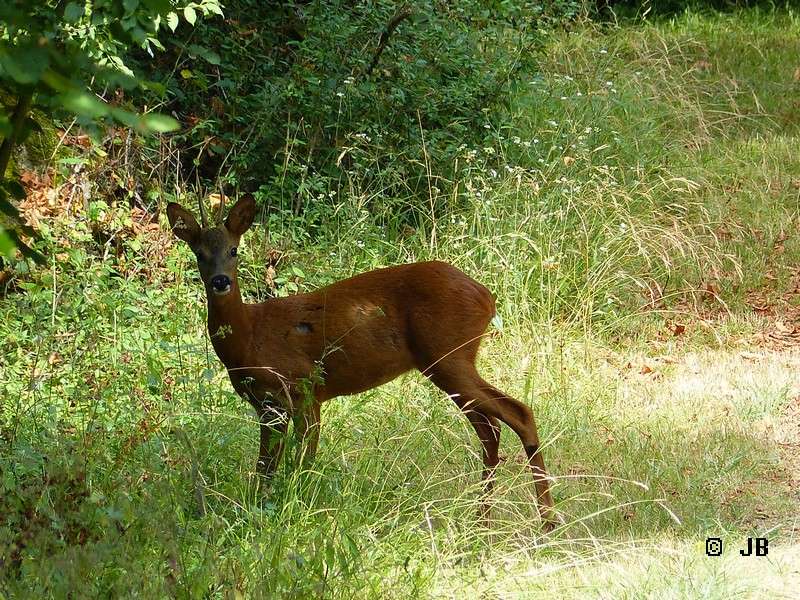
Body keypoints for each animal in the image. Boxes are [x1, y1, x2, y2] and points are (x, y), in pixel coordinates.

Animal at [166, 195, 556, 528]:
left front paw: (296, 511)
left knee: (518, 413)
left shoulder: (305, 386)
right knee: (490, 430)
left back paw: (546, 522)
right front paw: (260, 510)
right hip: (449, 363)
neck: (249, 339)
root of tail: (487, 297)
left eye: (234, 250)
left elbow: (302, 461)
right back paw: (481, 520)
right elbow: (265, 467)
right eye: (199, 252)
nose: (220, 281)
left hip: (449, 356)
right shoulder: (267, 406)